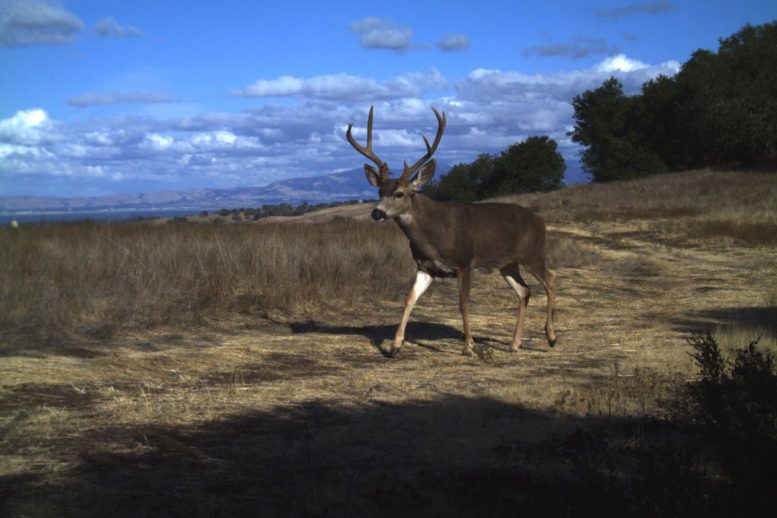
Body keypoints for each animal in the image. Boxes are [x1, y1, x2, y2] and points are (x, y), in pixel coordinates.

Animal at [346, 106, 556, 358]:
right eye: (379, 191)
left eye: (400, 193)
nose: (377, 213)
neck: (434, 235)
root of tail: (539, 221)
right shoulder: (425, 267)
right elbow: (409, 299)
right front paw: (395, 346)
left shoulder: (464, 262)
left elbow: (463, 303)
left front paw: (468, 346)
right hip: (507, 263)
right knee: (524, 291)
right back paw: (515, 344)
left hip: (533, 254)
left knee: (550, 280)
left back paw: (551, 337)